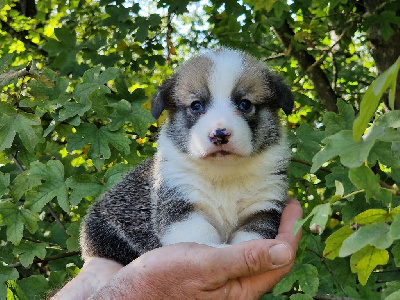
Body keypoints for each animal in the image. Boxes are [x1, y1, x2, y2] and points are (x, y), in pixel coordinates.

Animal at [80, 47, 294, 264]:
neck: (223, 173)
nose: (220, 135)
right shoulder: (179, 202)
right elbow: (200, 234)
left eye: (245, 104)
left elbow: (251, 235)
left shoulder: (264, 207)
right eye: (196, 106)